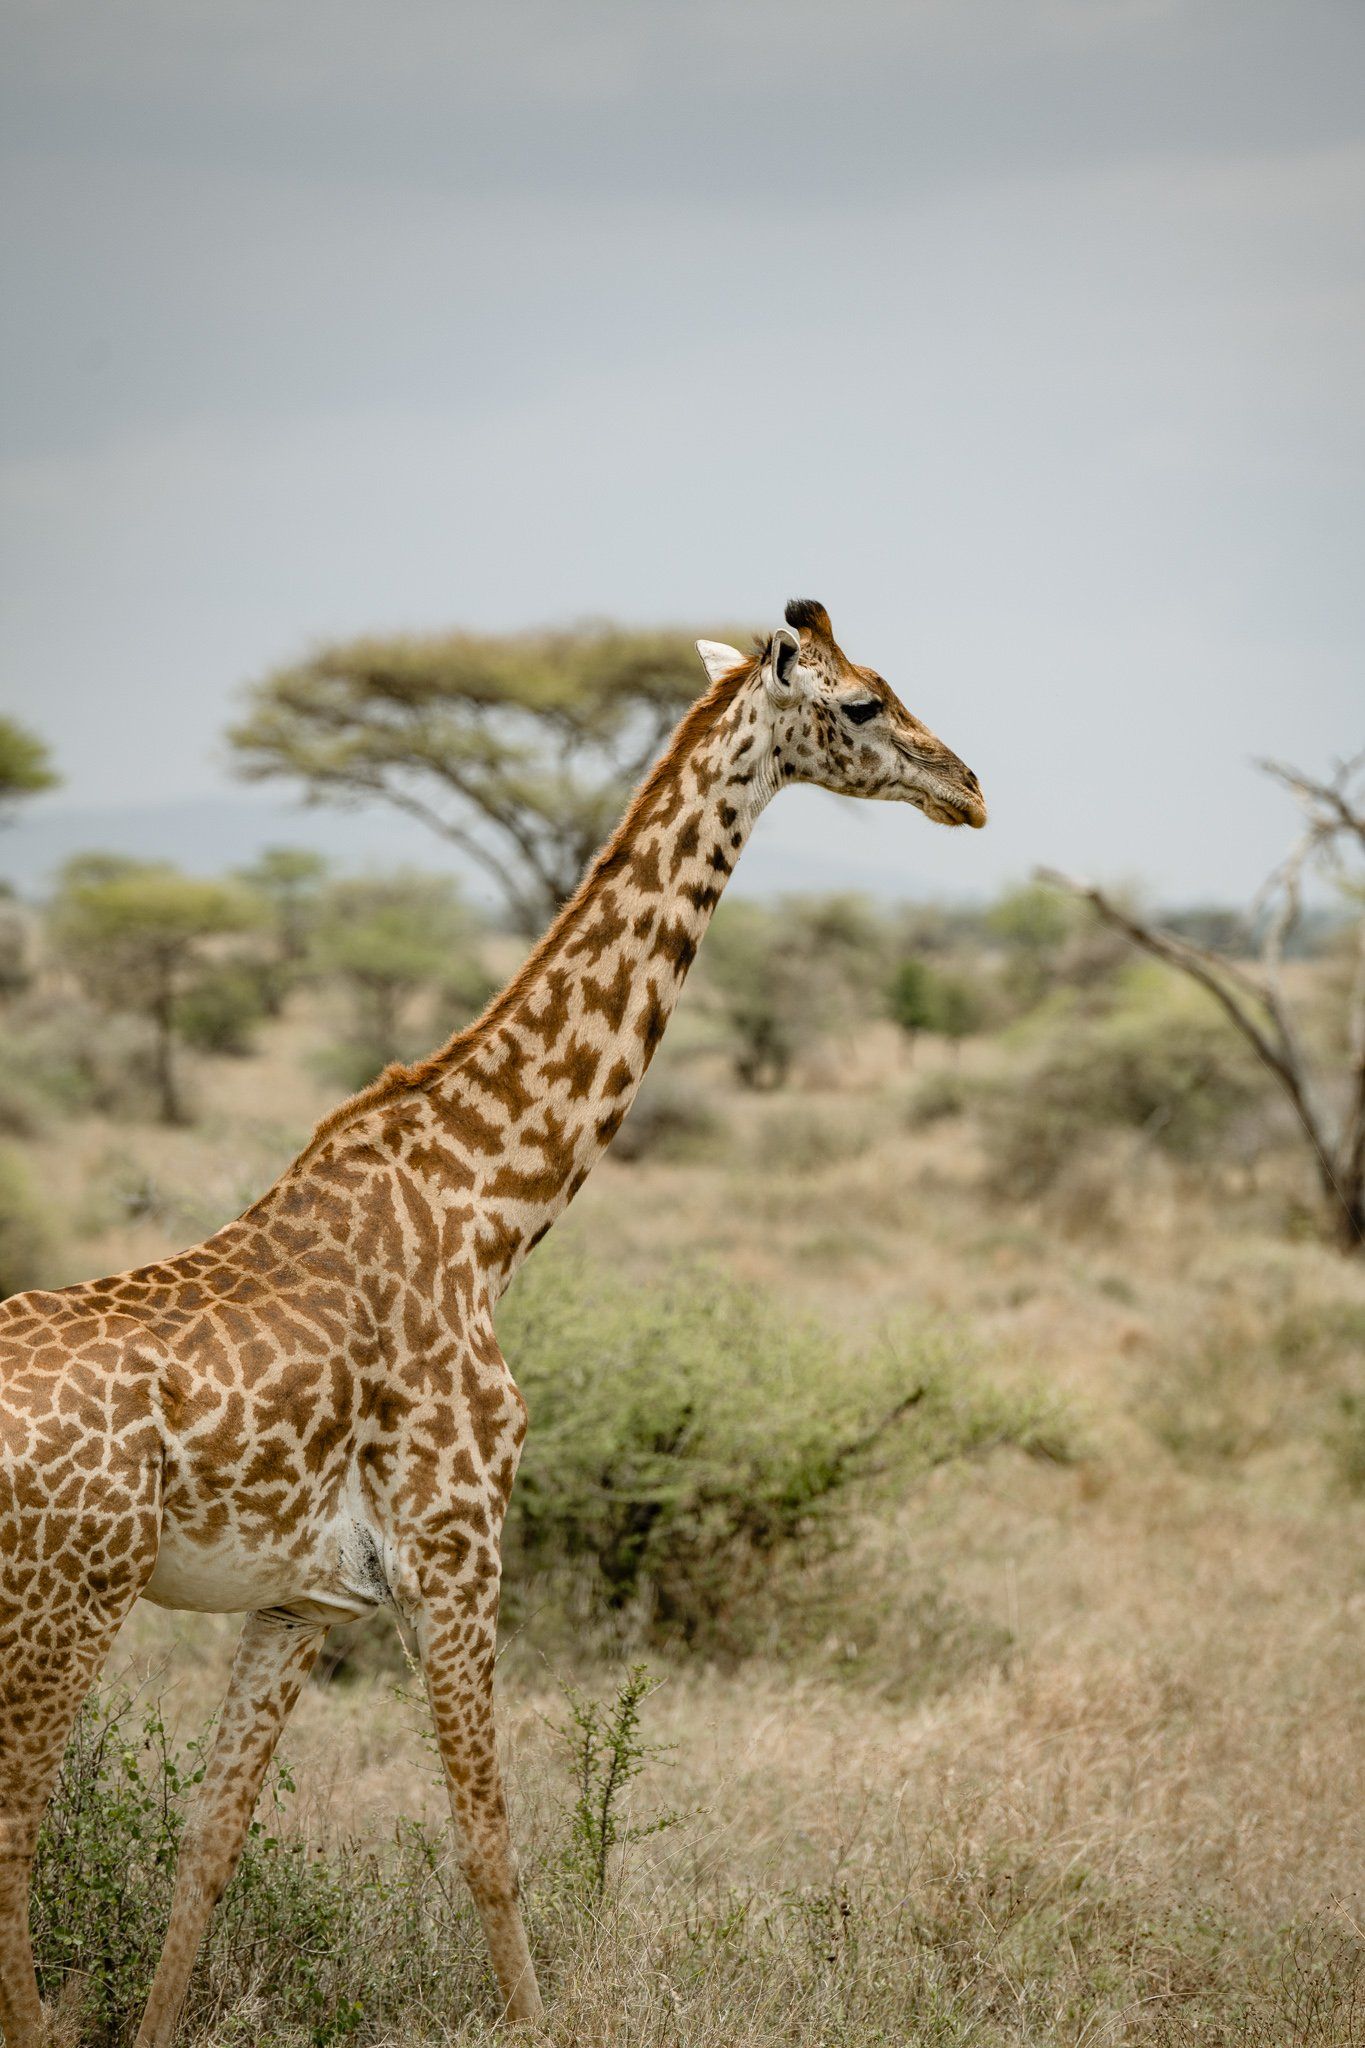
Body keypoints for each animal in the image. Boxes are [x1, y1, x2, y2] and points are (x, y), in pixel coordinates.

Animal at [0, 599, 985, 2044]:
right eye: (861, 704)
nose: (967, 786)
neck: (485, 1202)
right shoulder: (455, 1551)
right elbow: (490, 1841)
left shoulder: (301, 1598)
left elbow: (209, 1841)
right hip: (66, 1596)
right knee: (13, 1828)